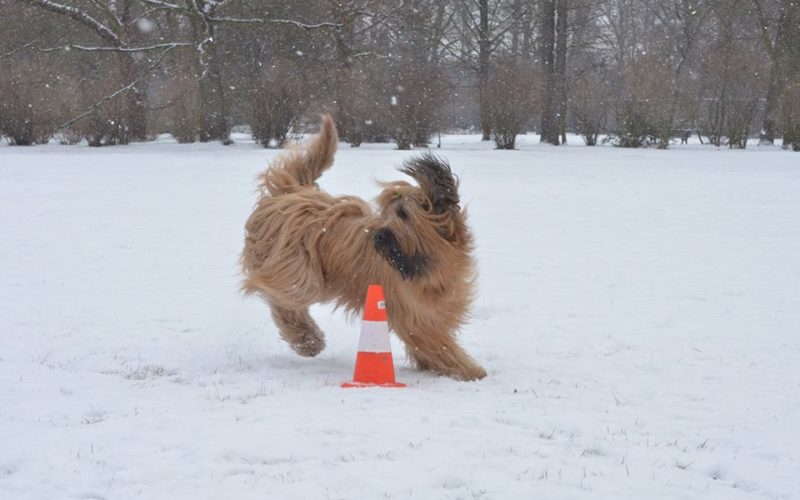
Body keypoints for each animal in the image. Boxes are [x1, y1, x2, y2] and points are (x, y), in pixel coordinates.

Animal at [241, 114, 484, 378]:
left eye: (403, 214)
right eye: (386, 213)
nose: (377, 236)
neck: (425, 265)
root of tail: (289, 192)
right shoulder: (414, 316)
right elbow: (439, 343)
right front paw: (471, 370)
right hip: (296, 268)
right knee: (281, 298)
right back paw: (308, 340)